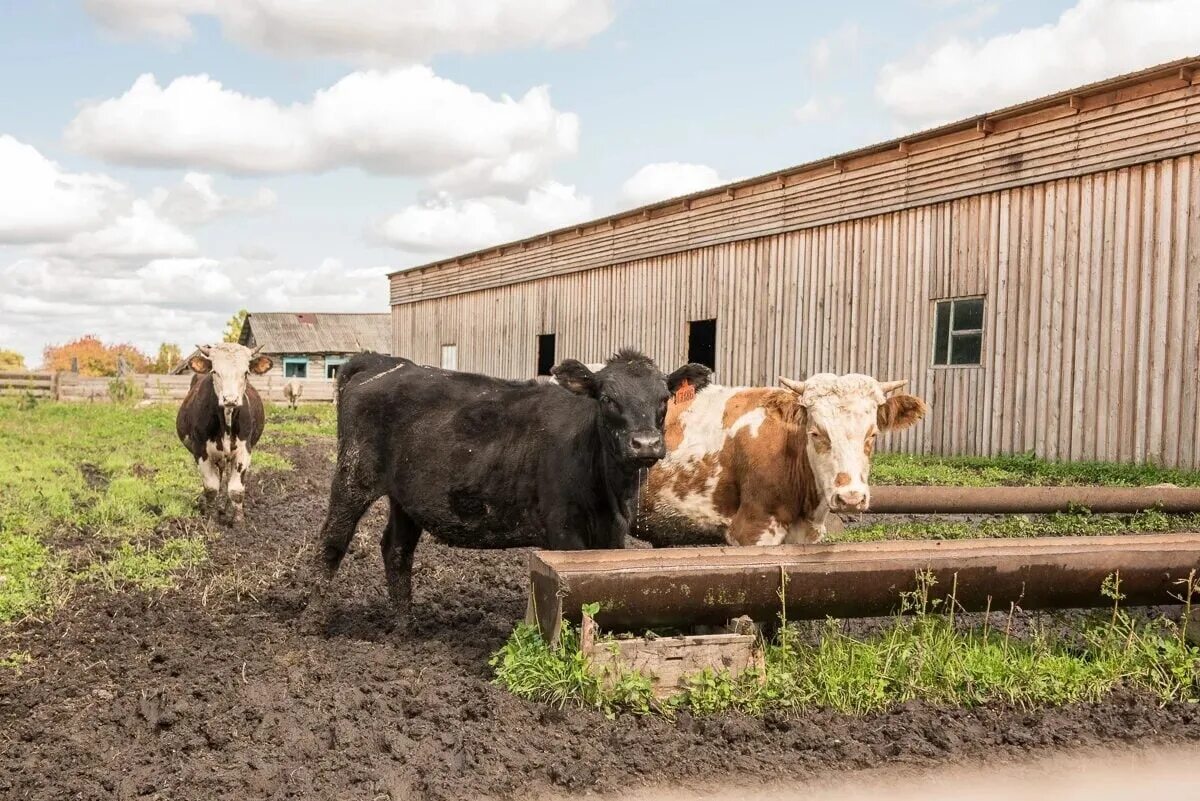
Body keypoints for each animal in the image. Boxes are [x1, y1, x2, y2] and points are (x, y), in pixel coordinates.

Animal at [176, 340, 273, 522]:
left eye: (246, 372)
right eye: (215, 371)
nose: (230, 399)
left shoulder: (244, 450)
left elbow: (236, 490)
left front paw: (238, 521)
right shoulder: (200, 451)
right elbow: (211, 487)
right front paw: (209, 516)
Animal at [304, 350, 710, 633]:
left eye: (664, 399)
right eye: (608, 398)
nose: (645, 444)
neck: (609, 490)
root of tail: (384, 361)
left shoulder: (613, 534)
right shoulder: (564, 530)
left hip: (405, 497)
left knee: (396, 551)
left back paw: (403, 627)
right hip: (353, 475)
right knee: (332, 543)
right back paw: (312, 623)